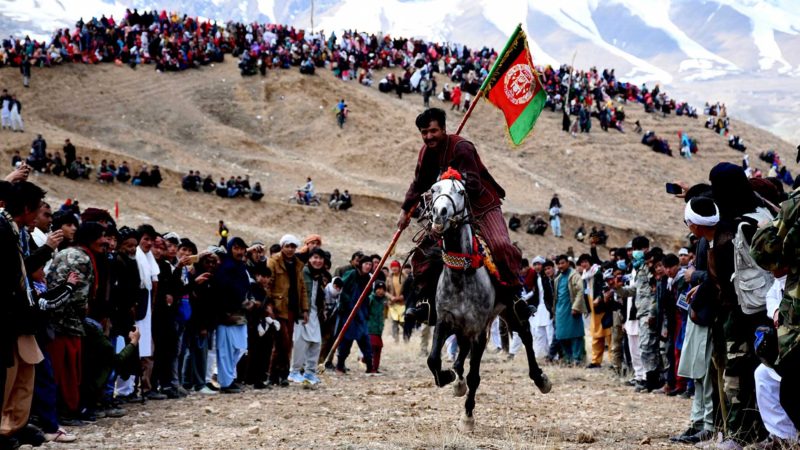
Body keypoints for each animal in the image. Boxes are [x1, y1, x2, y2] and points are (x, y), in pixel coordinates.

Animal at [424, 173, 552, 432]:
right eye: (433, 189)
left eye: (461, 191)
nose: (440, 213)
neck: (461, 274)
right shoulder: (444, 321)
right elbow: (433, 360)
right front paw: (449, 377)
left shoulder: (478, 332)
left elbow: (474, 376)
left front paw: (467, 418)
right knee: (461, 352)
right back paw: (457, 380)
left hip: (510, 312)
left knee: (526, 335)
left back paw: (540, 378)